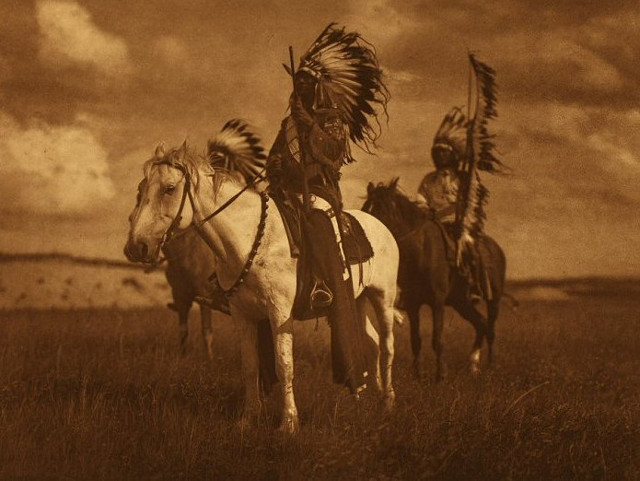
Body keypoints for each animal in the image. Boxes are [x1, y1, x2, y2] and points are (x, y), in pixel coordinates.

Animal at [124, 142, 400, 432]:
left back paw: (387, 403)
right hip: (358, 300)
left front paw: (288, 422)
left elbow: (284, 365)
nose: (136, 246)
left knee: (387, 346)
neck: (250, 240)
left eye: (169, 188)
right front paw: (248, 418)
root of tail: (381, 226)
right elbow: (250, 366)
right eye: (141, 189)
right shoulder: (243, 315)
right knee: (371, 342)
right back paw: (369, 397)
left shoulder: (279, 313)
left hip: (383, 297)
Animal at [362, 178, 508, 380]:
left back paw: (490, 365)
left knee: (491, 329)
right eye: (365, 209)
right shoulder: (413, 305)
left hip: (493, 300)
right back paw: (473, 366)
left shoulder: (437, 302)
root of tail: (497, 250)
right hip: (461, 303)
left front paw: (440, 375)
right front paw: (417, 376)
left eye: (382, 210)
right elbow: (416, 340)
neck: (421, 251)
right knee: (481, 324)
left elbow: (437, 339)